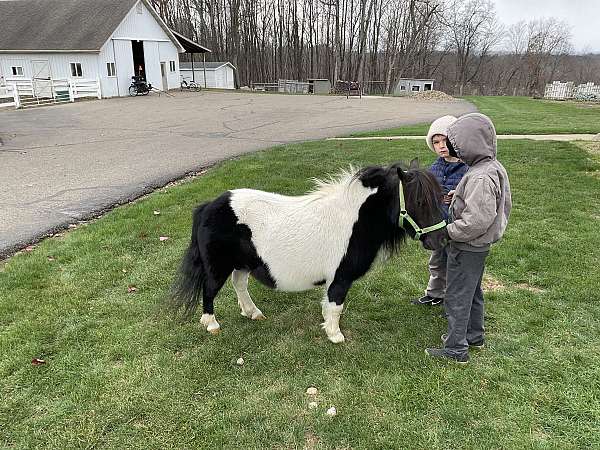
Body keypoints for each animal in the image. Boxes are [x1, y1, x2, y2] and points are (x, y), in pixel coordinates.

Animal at [169, 160, 446, 342]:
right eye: (419, 201)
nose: (441, 239)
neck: (354, 220)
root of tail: (208, 206)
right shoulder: (340, 277)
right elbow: (336, 304)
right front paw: (335, 335)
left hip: (243, 263)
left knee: (239, 285)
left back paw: (253, 313)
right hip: (218, 266)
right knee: (209, 291)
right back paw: (212, 325)